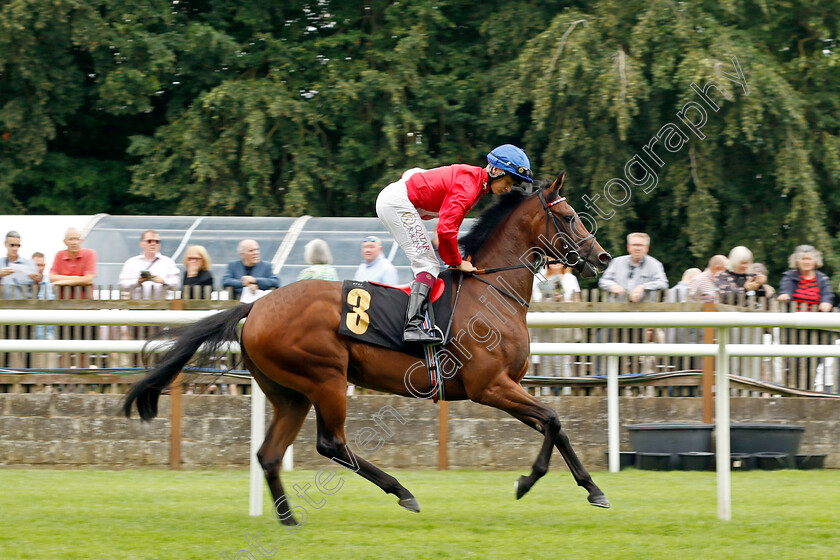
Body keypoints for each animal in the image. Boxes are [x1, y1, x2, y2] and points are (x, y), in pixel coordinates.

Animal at [123, 173, 612, 524]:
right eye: (570, 215)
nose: (604, 257)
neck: (491, 290)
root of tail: (257, 305)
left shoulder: (507, 386)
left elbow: (554, 424)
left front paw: (593, 489)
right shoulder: (489, 386)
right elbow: (553, 420)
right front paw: (527, 482)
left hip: (289, 393)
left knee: (269, 454)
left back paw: (289, 518)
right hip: (325, 378)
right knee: (331, 443)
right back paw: (402, 491)